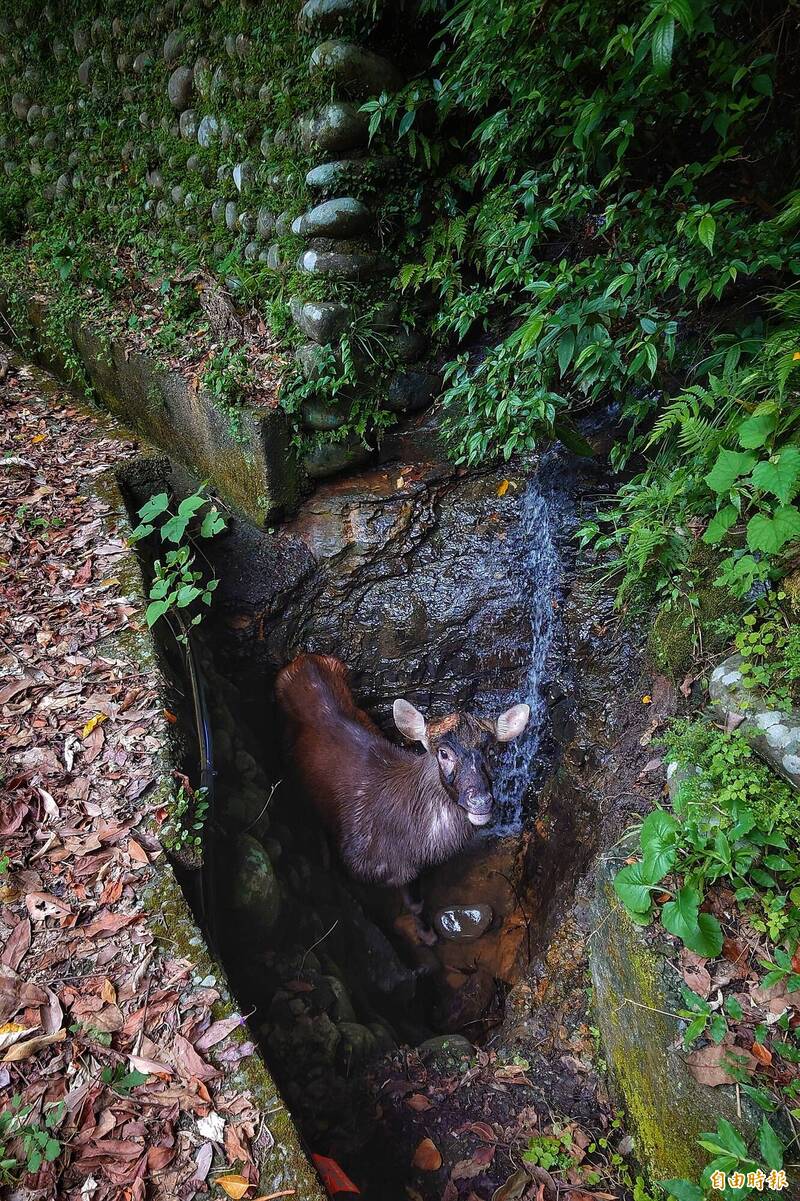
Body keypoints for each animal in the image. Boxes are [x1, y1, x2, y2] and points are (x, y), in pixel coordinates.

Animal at [274, 653, 530, 941]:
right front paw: (426, 937)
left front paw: (427, 934)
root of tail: (303, 659)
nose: (480, 801)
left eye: (488, 749)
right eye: (443, 753)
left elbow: (416, 902)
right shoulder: (354, 864)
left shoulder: (410, 871)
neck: (409, 847)